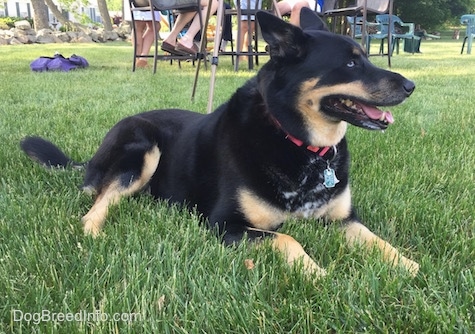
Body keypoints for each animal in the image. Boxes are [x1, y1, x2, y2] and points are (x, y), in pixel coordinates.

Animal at [19, 9, 420, 278]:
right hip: (142, 147)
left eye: (365, 56)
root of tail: (91, 158)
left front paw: (412, 267)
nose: (410, 86)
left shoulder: (343, 220)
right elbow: (287, 239)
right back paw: (94, 230)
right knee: (97, 201)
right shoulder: (225, 225)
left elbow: (379, 241)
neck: (298, 142)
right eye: (350, 64)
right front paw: (318, 274)